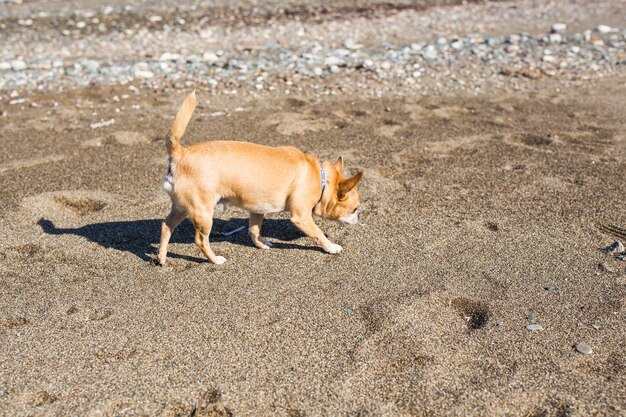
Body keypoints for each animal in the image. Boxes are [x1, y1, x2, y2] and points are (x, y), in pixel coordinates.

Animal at [155, 92, 360, 264]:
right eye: (355, 209)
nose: (359, 217)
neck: (321, 180)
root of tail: (181, 153)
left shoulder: (258, 209)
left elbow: (254, 230)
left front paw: (261, 243)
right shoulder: (301, 217)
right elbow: (318, 233)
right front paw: (331, 247)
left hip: (182, 207)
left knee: (166, 225)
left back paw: (161, 258)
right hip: (203, 212)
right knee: (200, 240)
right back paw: (215, 260)